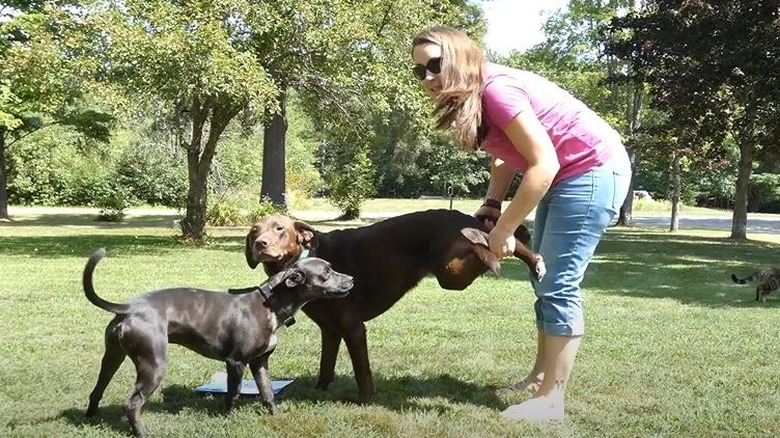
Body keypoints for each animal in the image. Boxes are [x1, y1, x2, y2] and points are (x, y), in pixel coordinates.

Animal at [81, 248, 354, 436]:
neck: (271, 303)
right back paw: (142, 433)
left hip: (112, 357)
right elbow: (233, 395)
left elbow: (267, 393)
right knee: (131, 404)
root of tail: (128, 308)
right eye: (326, 272)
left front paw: (276, 416)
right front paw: (228, 419)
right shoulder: (236, 362)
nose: (351, 279)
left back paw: (90, 418)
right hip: (154, 364)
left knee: (97, 390)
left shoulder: (260, 362)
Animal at [242, 209, 544, 404]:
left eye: (280, 228)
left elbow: (362, 371)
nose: (260, 244)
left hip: (451, 273)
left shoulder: (353, 328)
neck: (306, 260)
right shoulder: (330, 331)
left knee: (493, 247)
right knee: (498, 242)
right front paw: (319, 391)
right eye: (254, 231)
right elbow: (326, 365)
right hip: (455, 269)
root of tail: (463, 218)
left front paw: (366, 401)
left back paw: (520, 258)